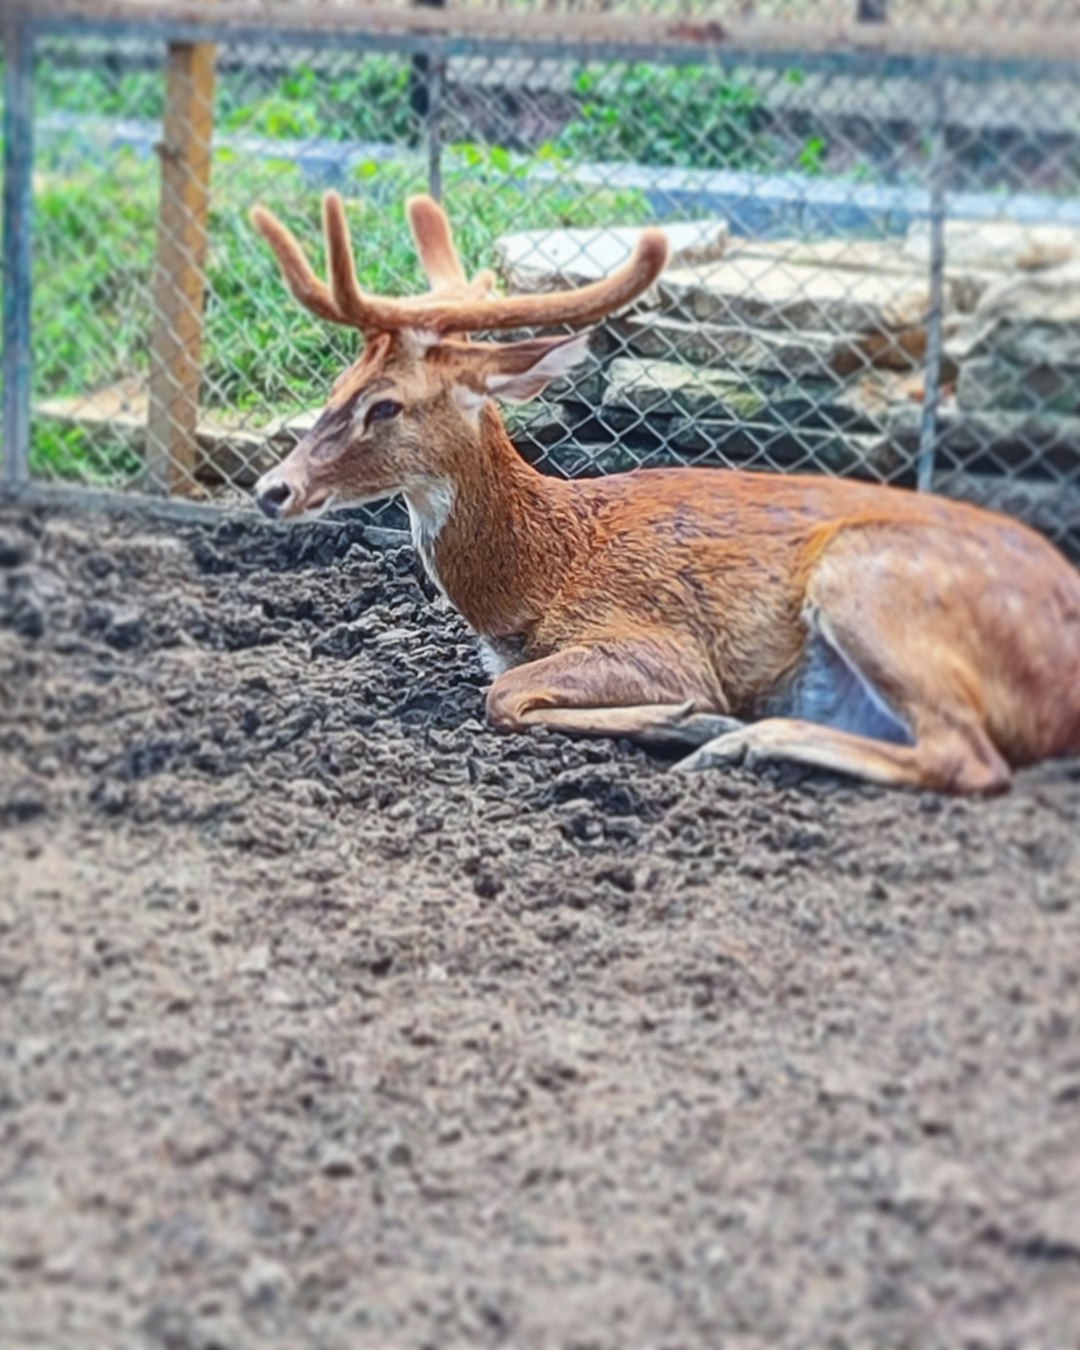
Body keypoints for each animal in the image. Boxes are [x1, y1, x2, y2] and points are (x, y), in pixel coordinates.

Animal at [248, 195, 1080, 793]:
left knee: (967, 757)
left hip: (869, 574)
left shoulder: (654, 640)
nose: (270, 488)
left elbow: (505, 696)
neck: (537, 578)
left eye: (385, 405)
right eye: (338, 383)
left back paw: (733, 739)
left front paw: (690, 717)